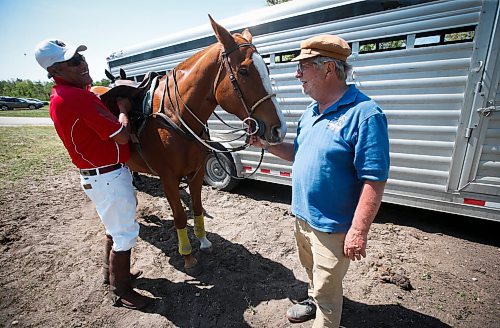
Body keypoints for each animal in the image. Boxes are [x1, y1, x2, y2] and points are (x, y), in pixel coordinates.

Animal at [102, 16, 286, 276]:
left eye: (268, 68)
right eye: (243, 70)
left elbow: (197, 207)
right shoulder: (168, 178)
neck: (174, 114)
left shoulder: (196, 173)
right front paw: (188, 256)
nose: (279, 128)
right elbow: (180, 215)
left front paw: (204, 242)